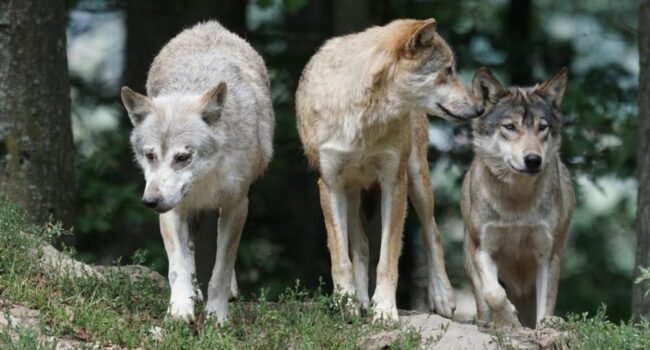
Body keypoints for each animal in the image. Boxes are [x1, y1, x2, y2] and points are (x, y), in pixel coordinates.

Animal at [119, 20, 274, 324]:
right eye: (150, 156)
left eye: (182, 158)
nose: (150, 201)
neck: (205, 181)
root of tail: (209, 25)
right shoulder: (172, 210)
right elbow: (177, 266)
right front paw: (180, 309)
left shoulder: (237, 205)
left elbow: (222, 269)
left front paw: (217, 316)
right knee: (189, 250)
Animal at [294, 18, 480, 320]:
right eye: (448, 70)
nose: (479, 108)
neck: (363, 117)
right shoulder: (330, 184)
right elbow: (340, 257)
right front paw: (346, 303)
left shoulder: (395, 181)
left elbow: (388, 258)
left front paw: (384, 309)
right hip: (352, 192)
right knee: (361, 246)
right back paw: (359, 301)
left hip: (417, 179)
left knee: (433, 232)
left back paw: (441, 297)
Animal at [460, 67, 572, 328]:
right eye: (510, 127)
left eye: (542, 127)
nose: (533, 160)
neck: (517, 202)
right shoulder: (483, 249)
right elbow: (494, 293)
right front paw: (509, 319)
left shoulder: (547, 255)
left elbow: (546, 307)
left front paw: (543, 325)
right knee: (484, 304)